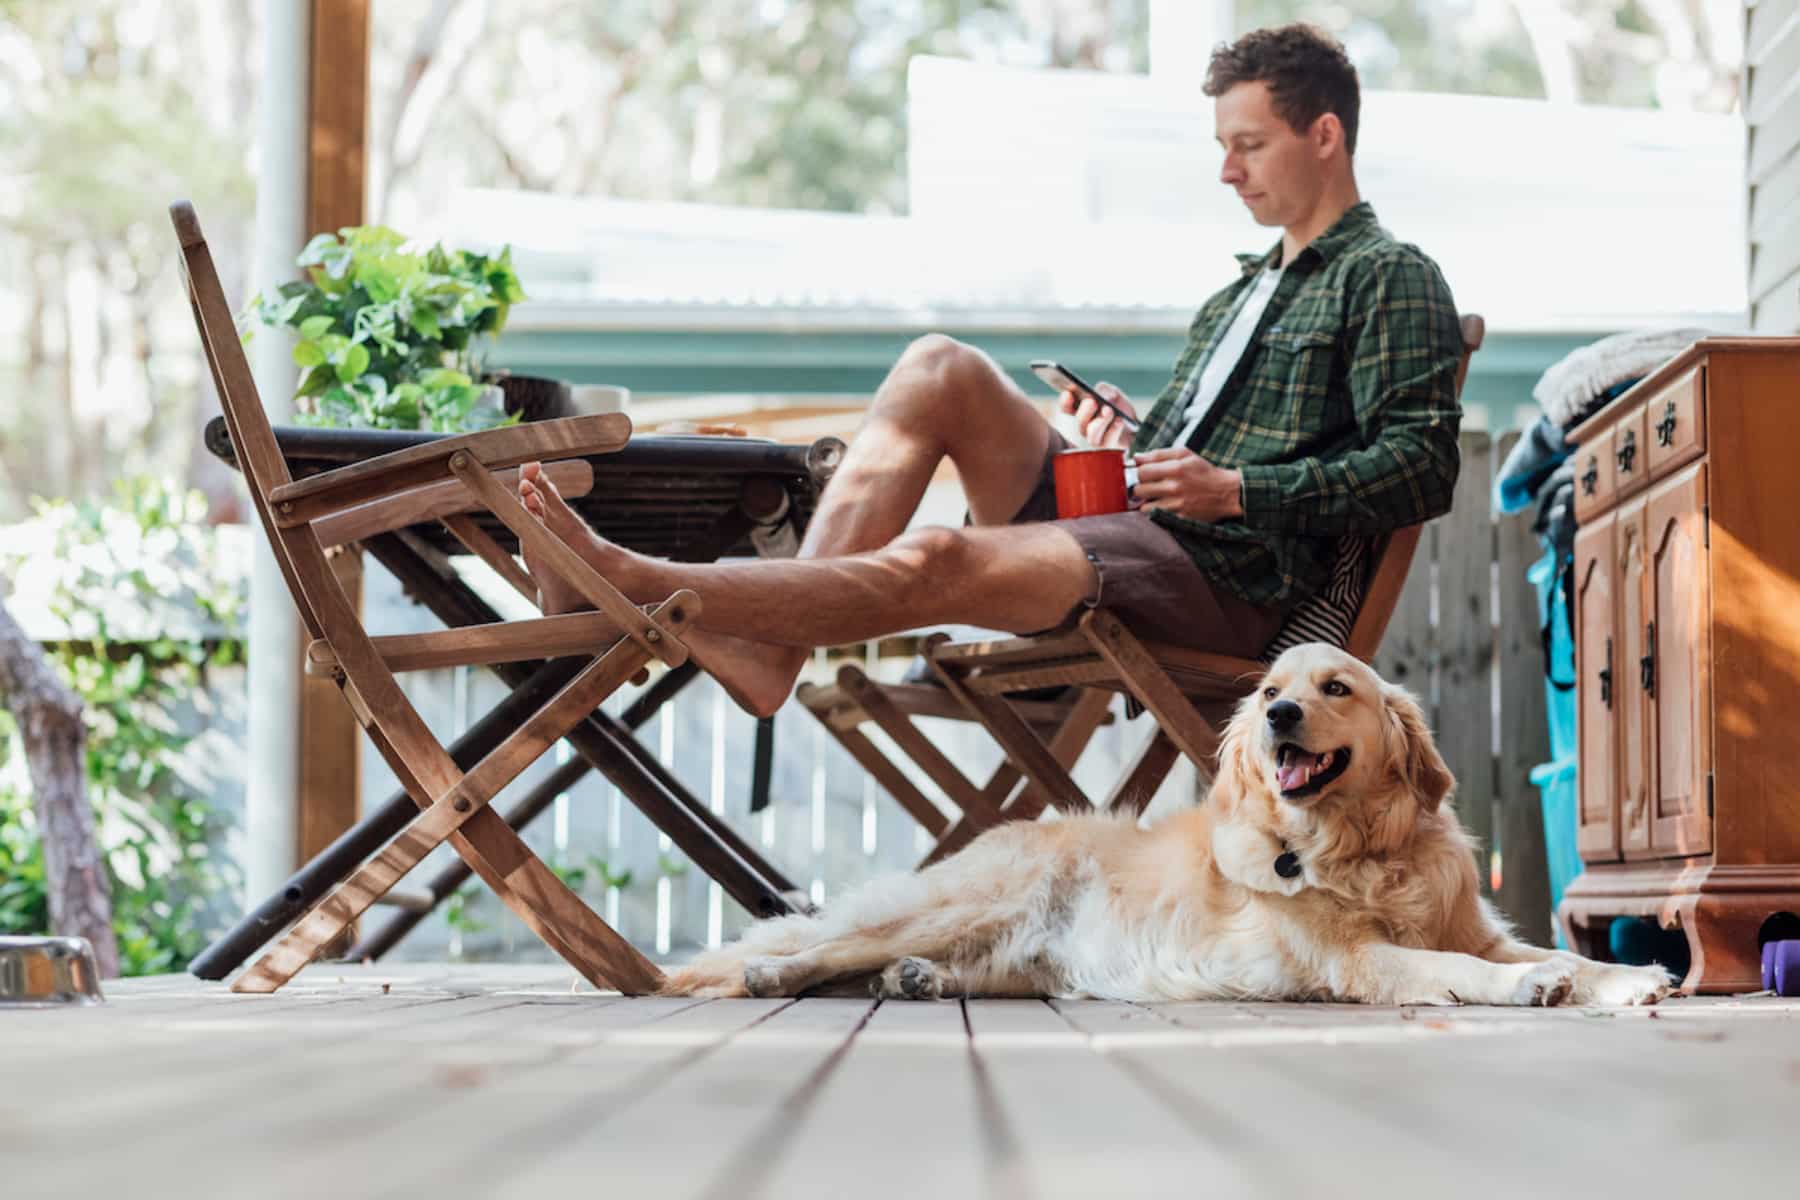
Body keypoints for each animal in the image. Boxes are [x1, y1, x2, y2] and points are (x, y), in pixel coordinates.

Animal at [666, 644, 1670, 1007]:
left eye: (1335, 688)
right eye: (1269, 692)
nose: (1279, 717)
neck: (1359, 848)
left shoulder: (1474, 925)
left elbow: (1561, 950)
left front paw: (1629, 977)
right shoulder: (1359, 960)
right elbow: (1459, 971)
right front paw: (1532, 989)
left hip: (1013, 947)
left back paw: (916, 979)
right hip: (975, 900)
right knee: (833, 945)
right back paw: (773, 972)